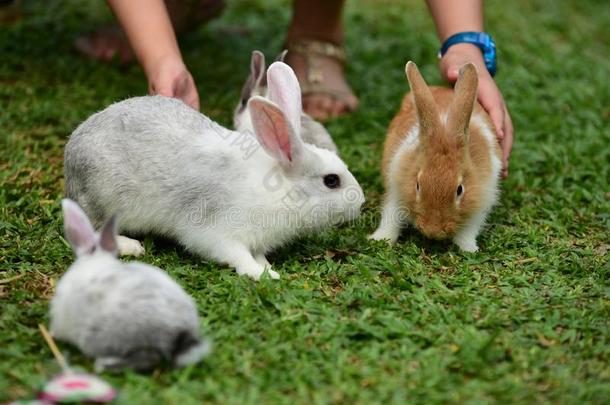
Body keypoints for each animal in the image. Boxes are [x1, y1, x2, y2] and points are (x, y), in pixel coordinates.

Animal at [64, 61, 364, 280]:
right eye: (332, 181)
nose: (360, 202)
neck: (282, 189)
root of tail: (71, 156)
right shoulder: (218, 232)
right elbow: (237, 255)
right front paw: (262, 275)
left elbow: (257, 254)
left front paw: (266, 267)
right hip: (103, 199)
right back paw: (130, 246)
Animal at [368, 61, 502, 251]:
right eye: (417, 185)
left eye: (460, 189)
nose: (433, 231)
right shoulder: (396, 189)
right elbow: (391, 217)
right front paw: (379, 239)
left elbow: (467, 231)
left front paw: (469, 249)